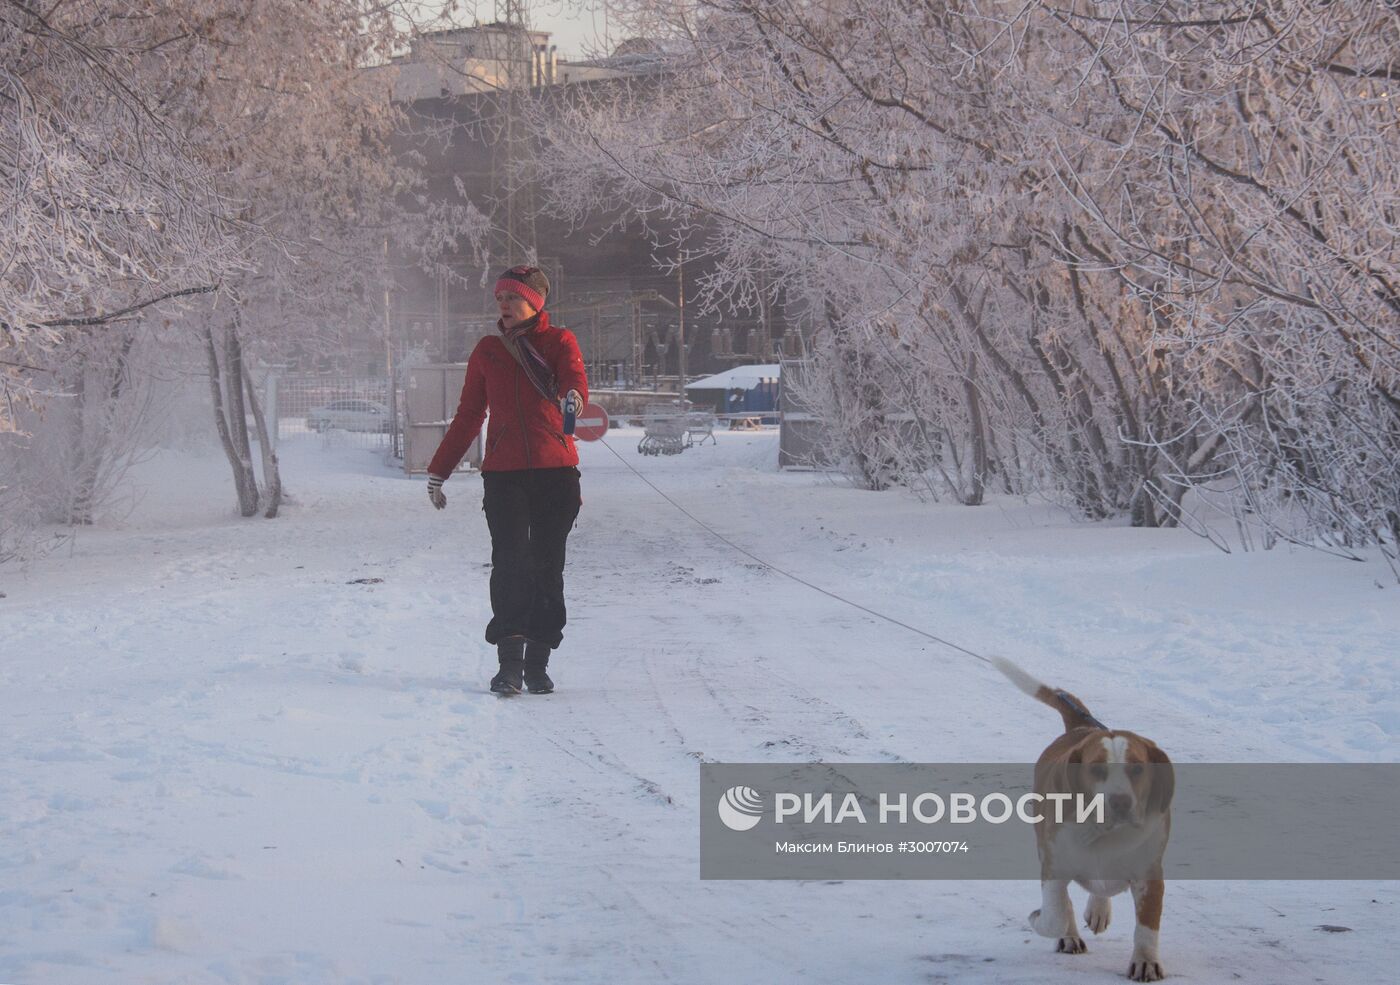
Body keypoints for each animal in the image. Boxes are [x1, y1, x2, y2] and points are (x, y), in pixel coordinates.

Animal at [991, 657, 1176, 979]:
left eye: (1137, 768)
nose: (1120, 802)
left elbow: (1147, 927)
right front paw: (1041, 919)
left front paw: (1146, 962)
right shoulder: (1054, 865)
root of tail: (1083, 726)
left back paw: (1099, 909)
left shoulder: (1149, 874)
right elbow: (1055, 914)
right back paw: (1070, 933)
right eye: (1096, 769)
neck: (1104, 834)